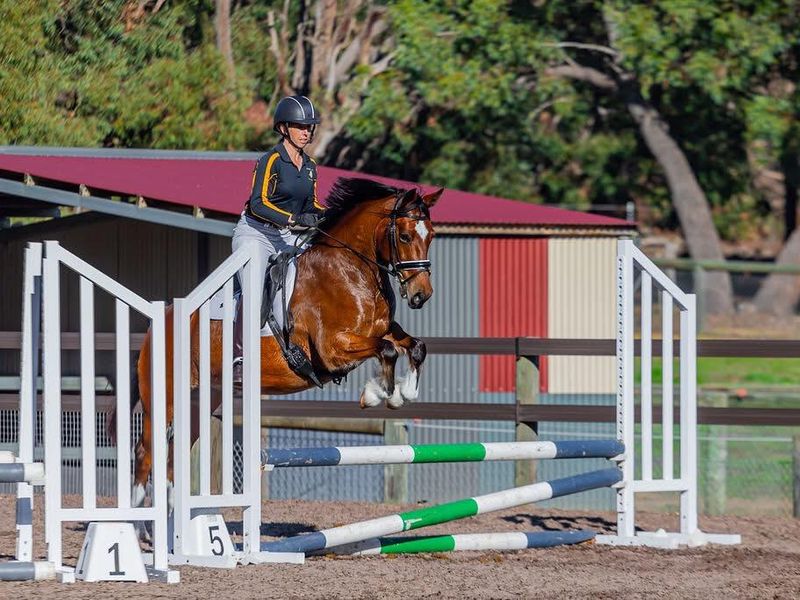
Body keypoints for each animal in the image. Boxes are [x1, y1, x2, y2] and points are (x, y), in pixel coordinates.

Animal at [129, 177, 442, 507]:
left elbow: (415, 347)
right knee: (146, 452)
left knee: (173, 456)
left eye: (432, 236)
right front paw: (377, 394)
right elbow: (388, 350)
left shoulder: (382, 329)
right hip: (162, 400)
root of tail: (161, 319)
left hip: (201, 398)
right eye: (405, 236)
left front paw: (401, 393)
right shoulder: (332, 349)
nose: (421, 295)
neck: (351, 270)